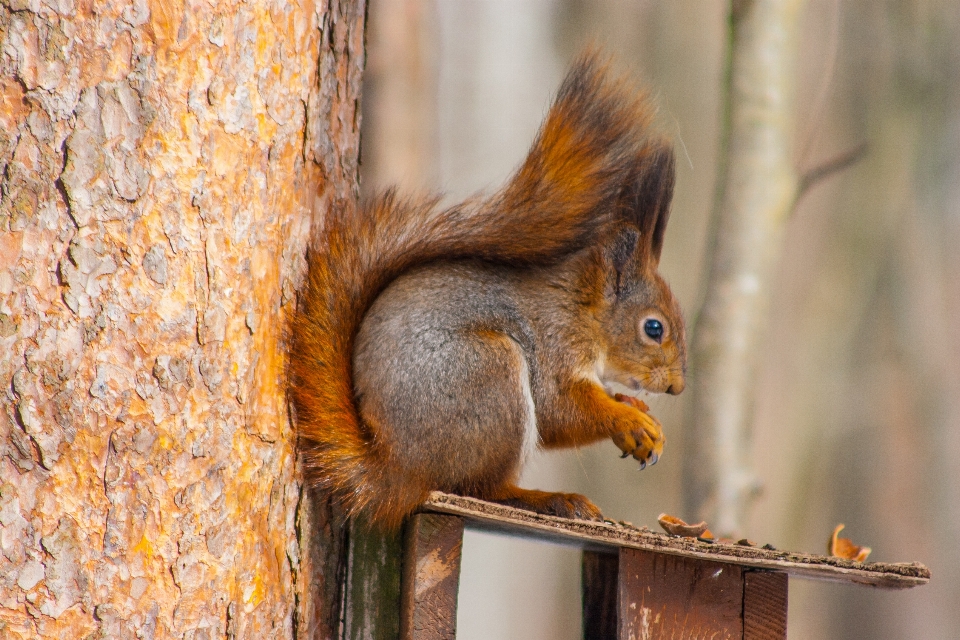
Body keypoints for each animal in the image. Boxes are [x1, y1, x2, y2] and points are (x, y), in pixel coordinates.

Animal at [288, 52, 688, 528]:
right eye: (654, 328)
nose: (677, 388)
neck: (580, 307)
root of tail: (396, 469)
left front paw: (636, 408)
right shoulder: (553, 344)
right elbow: (559, 410)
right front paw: (628, 419)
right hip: (488, 379)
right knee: (481, 487)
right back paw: (548, 498)